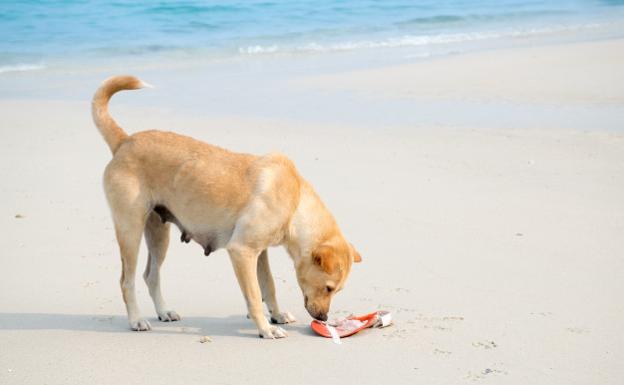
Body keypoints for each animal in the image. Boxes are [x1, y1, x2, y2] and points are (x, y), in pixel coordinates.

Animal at [89, 76, 358, 340]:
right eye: (328, 288)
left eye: (337, 290)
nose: (323, 318)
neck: (294, 200)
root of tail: (125, 141)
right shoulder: (242, 251)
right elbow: (254, 296)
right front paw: (265, 328)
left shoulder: (259, 253)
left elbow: (268, 286)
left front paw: (277, 315)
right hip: (130, 230)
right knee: (127, 280)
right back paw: (136, 320)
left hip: (158, 233)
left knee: (150, 275)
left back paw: (163, 311)